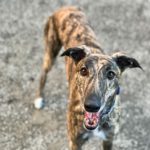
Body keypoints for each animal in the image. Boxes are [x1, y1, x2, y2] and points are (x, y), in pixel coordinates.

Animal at [34, 6, 142, 150]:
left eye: (111, 74)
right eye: (83, 70)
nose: (91, 106)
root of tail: (66, 7)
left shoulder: (108, 139)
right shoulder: (75, 142)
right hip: (50, 52)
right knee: (43, 74)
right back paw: (39, 98)